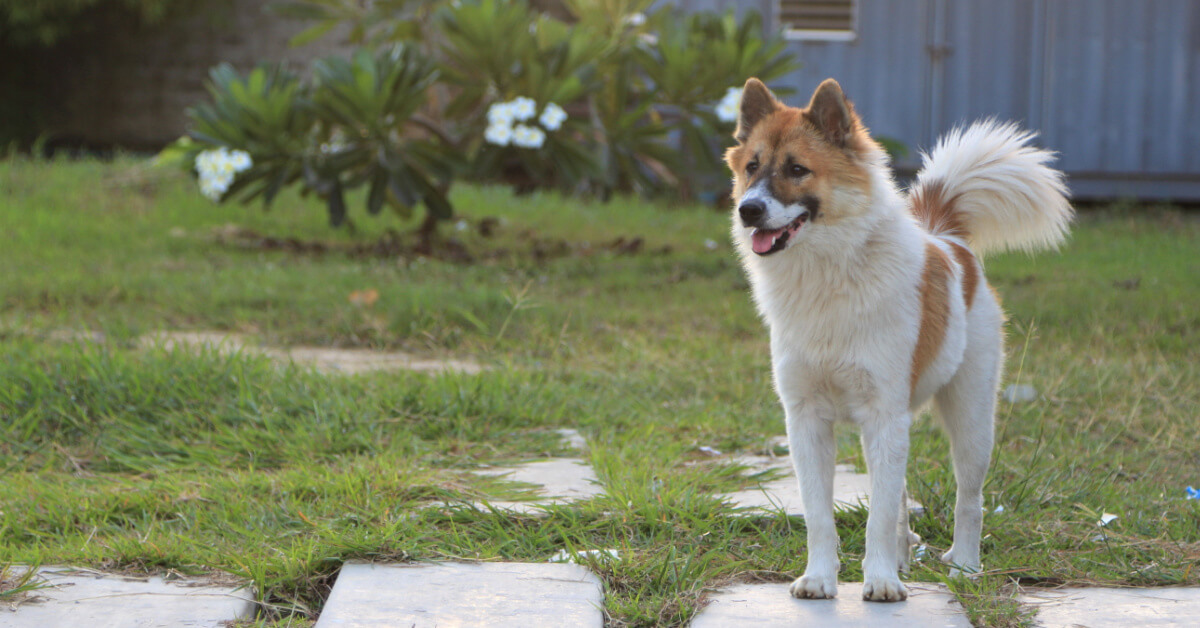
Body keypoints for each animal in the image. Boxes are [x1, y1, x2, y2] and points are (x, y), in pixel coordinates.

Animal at [724, 78, 1075, 605]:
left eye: (797, 169)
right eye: (751, 167)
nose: (749, 211)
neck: (831, 275)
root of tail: (948, 241)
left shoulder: (882, 415)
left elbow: (880, 512)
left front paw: (882, 580)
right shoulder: (806, 419)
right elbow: (821, 513)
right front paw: (821, 577)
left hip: (972, 421)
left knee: (969, 499)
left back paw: (964, 565)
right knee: (903, 492)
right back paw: (905, 556)